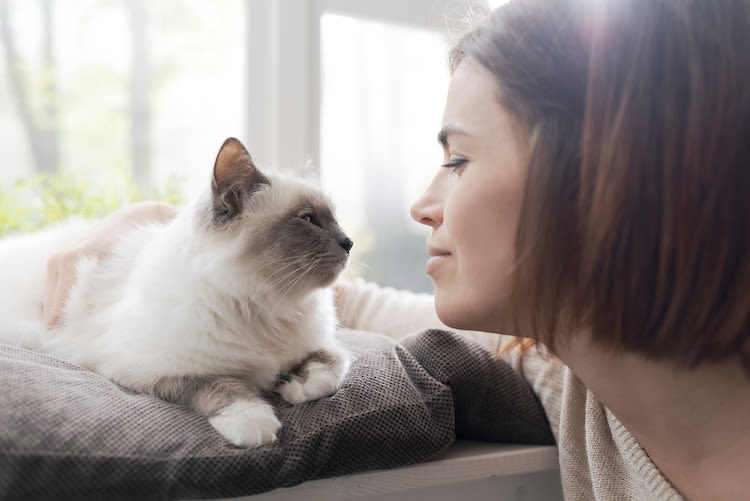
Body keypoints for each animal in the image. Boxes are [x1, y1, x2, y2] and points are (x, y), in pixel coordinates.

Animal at [0, 137, 356, 446]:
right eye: (308, 219)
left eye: (336, 219)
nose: (349, 242)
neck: (267, 306)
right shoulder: (159, 371)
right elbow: (222, 387)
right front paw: (255, 422)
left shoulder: (320, 344)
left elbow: (331, 367)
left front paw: (296, 387)